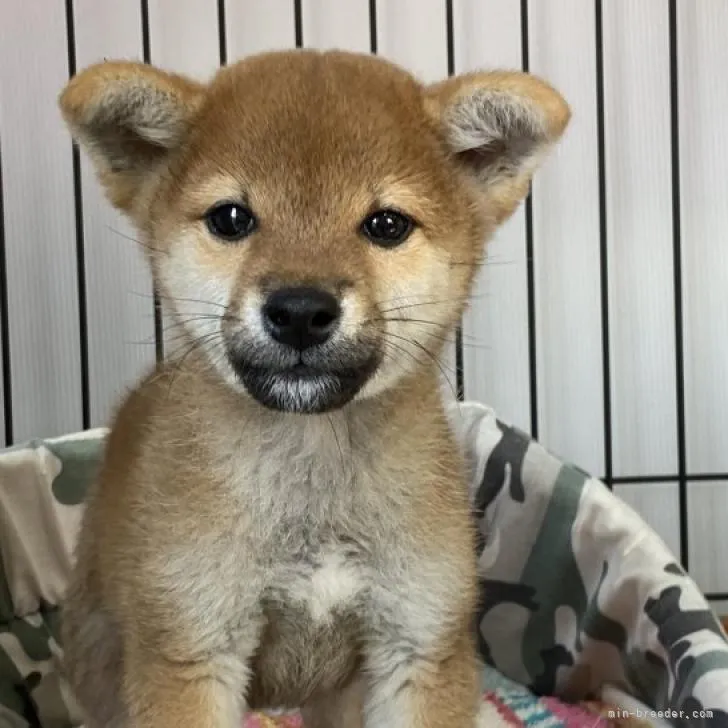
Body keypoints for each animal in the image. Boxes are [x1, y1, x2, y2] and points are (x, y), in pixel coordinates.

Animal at [58, 47, 568, 728]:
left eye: (386, 224)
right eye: (231, 218)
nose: (300, 310)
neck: (313, 472)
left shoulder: (418, 643)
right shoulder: (192, 648)